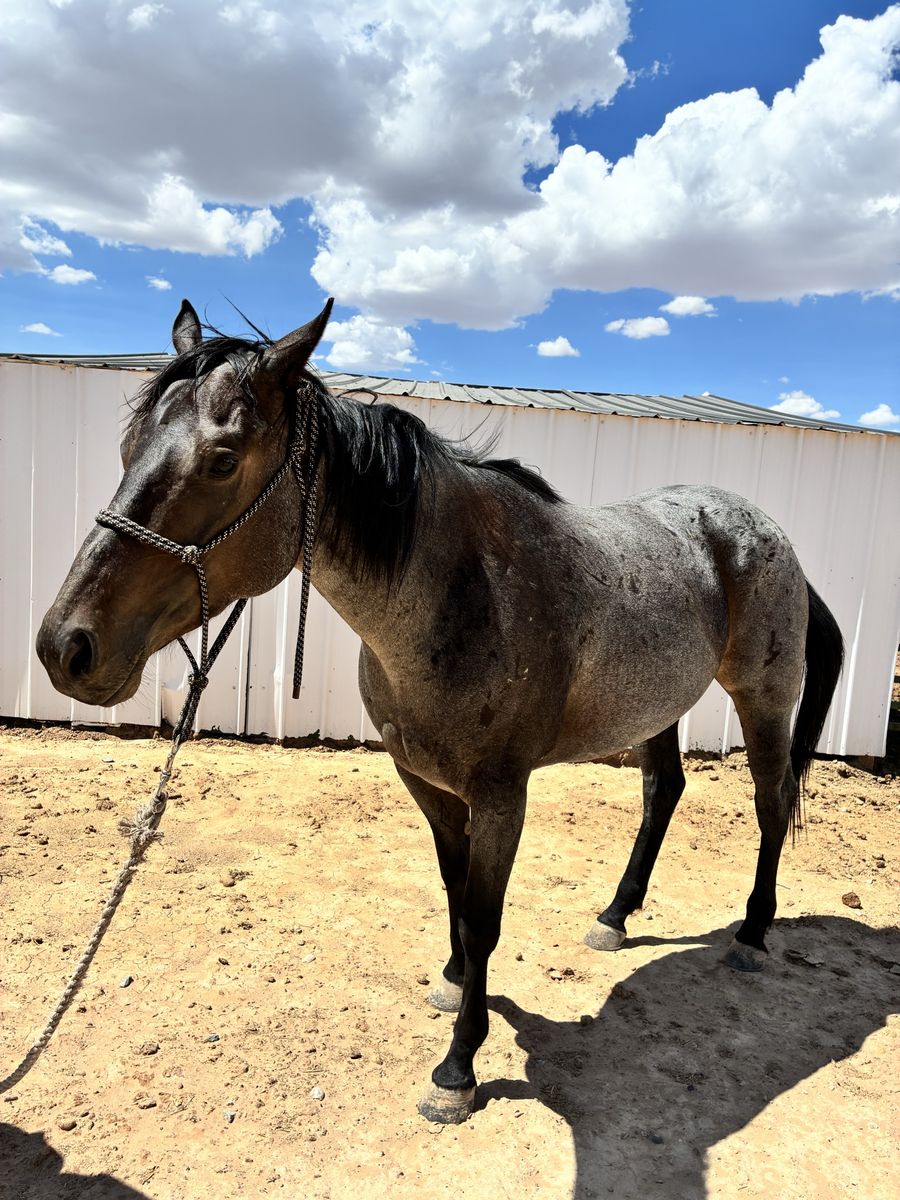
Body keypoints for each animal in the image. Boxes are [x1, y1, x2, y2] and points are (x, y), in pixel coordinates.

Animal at [37, 299, 844, 1125]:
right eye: (128, 447)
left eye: (223, 460)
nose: (67, 647)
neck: (461, 593)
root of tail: (764, 532)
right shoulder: (425, 782)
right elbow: (456, 896)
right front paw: (455, 983)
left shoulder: (501, 796)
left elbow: (485, 919)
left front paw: (458, 1067)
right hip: (656, 706)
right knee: (664, 793)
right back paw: (616, 916)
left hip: (763, 698)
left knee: (772, 799)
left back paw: (752, 931)